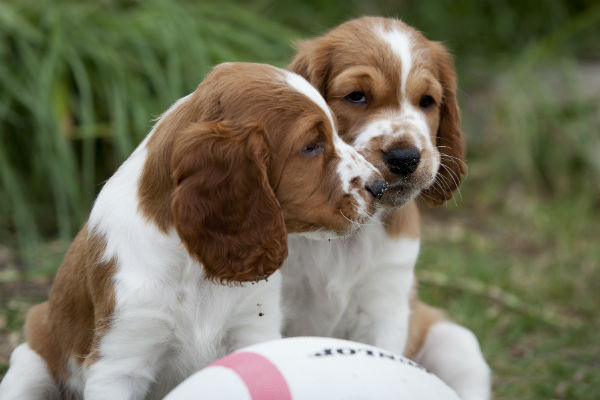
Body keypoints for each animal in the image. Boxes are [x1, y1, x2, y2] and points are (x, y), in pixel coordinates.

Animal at [0, 62, 384, 400]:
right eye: (311, 146)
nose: (381, 186)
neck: (196, 270)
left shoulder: (253, 329)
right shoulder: (120, 362)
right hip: (30, 363)